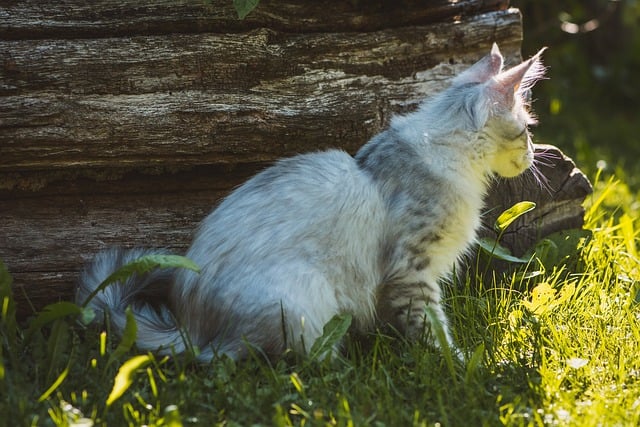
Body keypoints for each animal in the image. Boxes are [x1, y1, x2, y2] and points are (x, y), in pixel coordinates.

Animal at [75, 44, 544, 362]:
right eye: (525, 130)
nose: (533, 155)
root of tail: (192, 328)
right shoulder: (411, 271)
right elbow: (432, 330)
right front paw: (458, 366)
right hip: (303, 299)